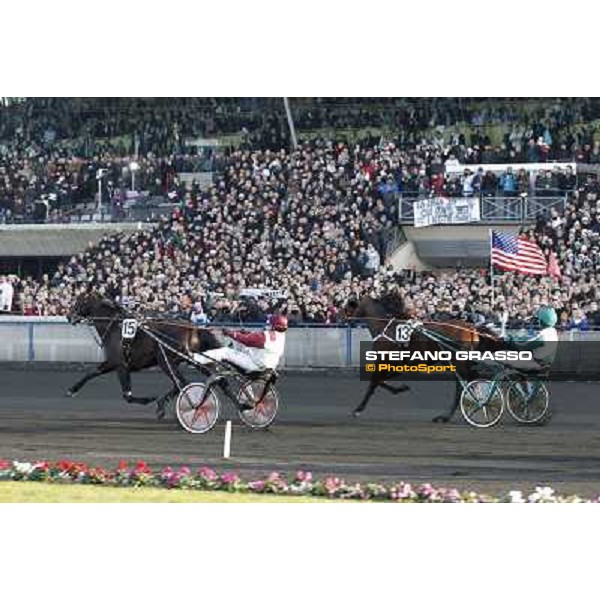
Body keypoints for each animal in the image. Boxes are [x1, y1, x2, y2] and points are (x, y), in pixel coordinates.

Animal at [67, 292, 223, 418]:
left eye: (80, 300)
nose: (69, 316)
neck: (114, 327)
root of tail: (192, 327)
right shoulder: (112, 363)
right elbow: (91, 372)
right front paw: (72, 390)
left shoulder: (120, 363)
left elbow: (127, 395)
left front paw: (149, 399)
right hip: (188, 359)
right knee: (201, 378)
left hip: (165, 360)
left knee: (182, 382)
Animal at [344, 294, 500, 422]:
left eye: (348, 306)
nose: (342, 316)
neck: (387, 329)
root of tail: (471, 328)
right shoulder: (396, 365)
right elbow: (380, 381)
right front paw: (401, 388)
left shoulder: (386, 361)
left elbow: (374, 382)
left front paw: (358, 409)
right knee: (468, 381)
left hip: (458, 361)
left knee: (464, 383)